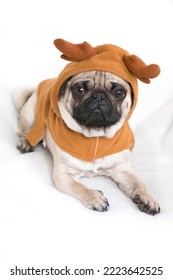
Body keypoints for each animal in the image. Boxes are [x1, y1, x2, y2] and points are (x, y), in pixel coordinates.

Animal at [13, 38, 161, 214]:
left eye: (119, 92)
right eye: (79, 89)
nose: (99, 96)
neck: (95, 136)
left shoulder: (124, 171)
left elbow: (140, 184)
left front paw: (148, 199)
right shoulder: (64, 175)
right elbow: (80, 187)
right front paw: (95, 197)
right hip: (30, 114)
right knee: (25, 130)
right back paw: (26, 143)